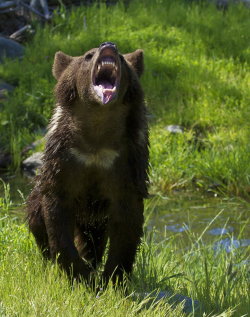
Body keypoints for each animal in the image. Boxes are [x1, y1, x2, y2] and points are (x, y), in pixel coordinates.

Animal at [26, 40, 149, 286]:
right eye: (88, 55)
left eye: (122, 57)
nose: (109, 45)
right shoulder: (65, 162)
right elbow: (57, 215)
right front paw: (79, 273)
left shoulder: (125, 163)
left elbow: (127, 223)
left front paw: (112, 276)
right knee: (36, 217)